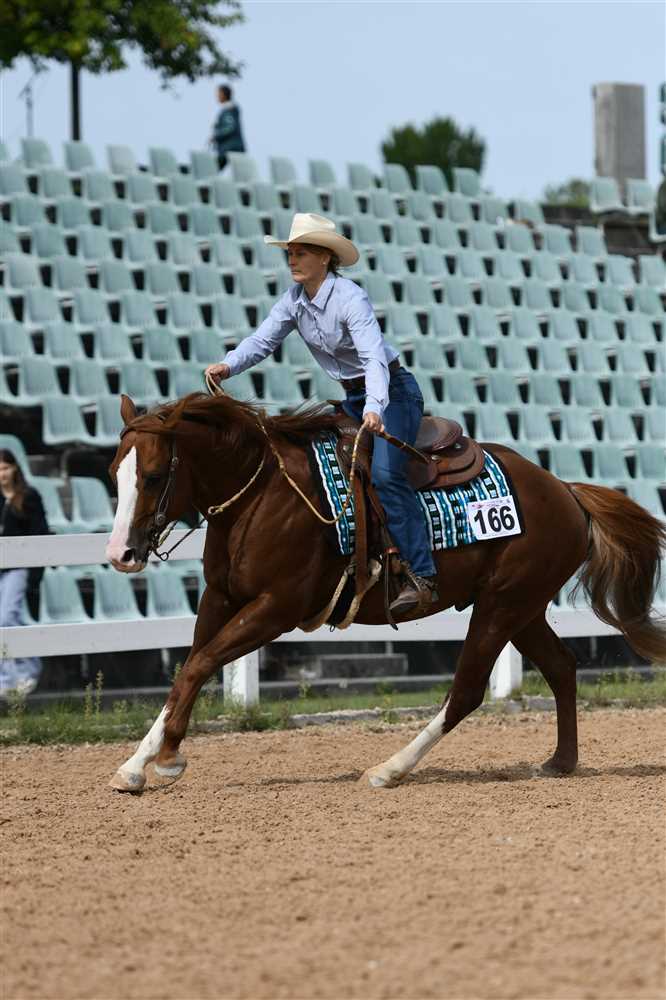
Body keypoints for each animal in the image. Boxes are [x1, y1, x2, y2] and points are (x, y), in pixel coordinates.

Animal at [105, 391, 666, 792]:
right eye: (115, 474)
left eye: (152, 476)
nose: (120, 553)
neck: (263, 493)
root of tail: (566, 492)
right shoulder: (220, 598)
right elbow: (188, 669)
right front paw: (135, 764)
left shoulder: (276, 608)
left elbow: (198, 666)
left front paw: (170, 758)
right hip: (522, 609)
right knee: (562, 669)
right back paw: (560, 762)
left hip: (502, 605)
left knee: (467, 691)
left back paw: (388, 769)